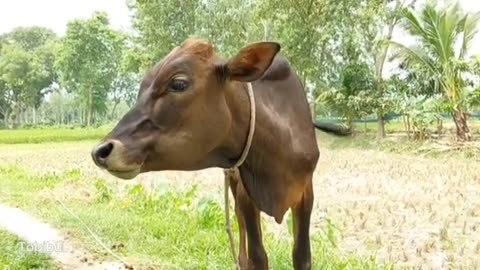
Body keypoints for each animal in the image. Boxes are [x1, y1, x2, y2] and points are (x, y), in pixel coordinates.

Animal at [92, 38, 350, 270]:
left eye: (178, 84)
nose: (101, 151)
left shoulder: (306, 192)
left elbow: (302, 256)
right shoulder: (246, 193)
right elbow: (258, 257)